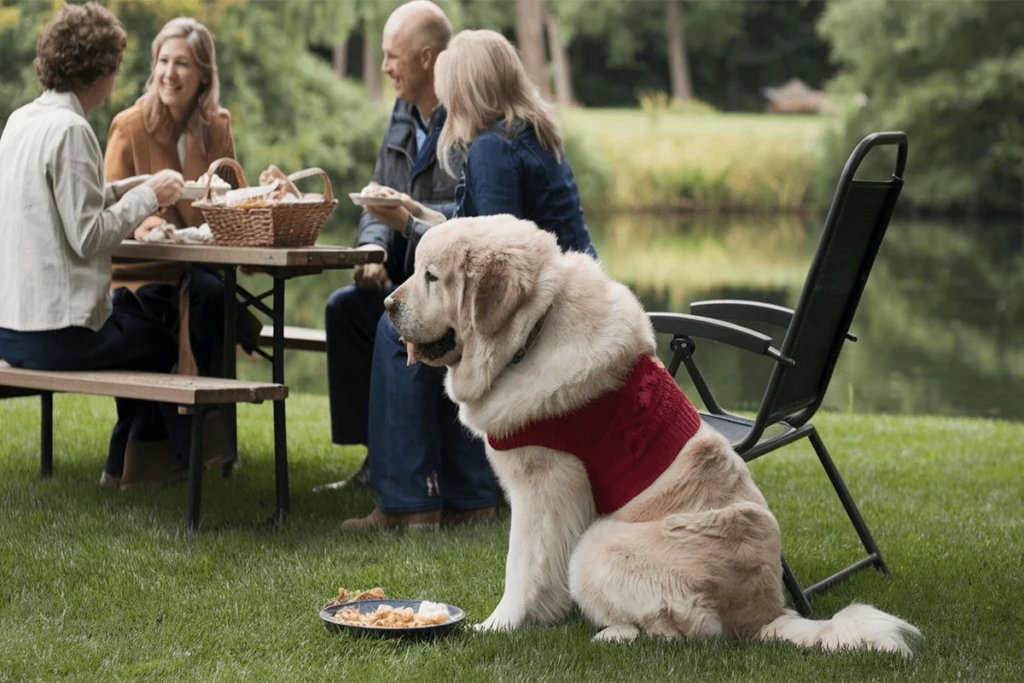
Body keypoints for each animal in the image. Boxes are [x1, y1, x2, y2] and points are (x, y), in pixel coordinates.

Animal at [385, 216, 921, 655]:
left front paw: (499, 625)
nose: (388, 304)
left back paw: (614, 634)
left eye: (431, 277)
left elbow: (522, 566)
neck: (532, 334)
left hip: (599, 546)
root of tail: (765, 614)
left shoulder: (544, 487)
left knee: (683, 632)